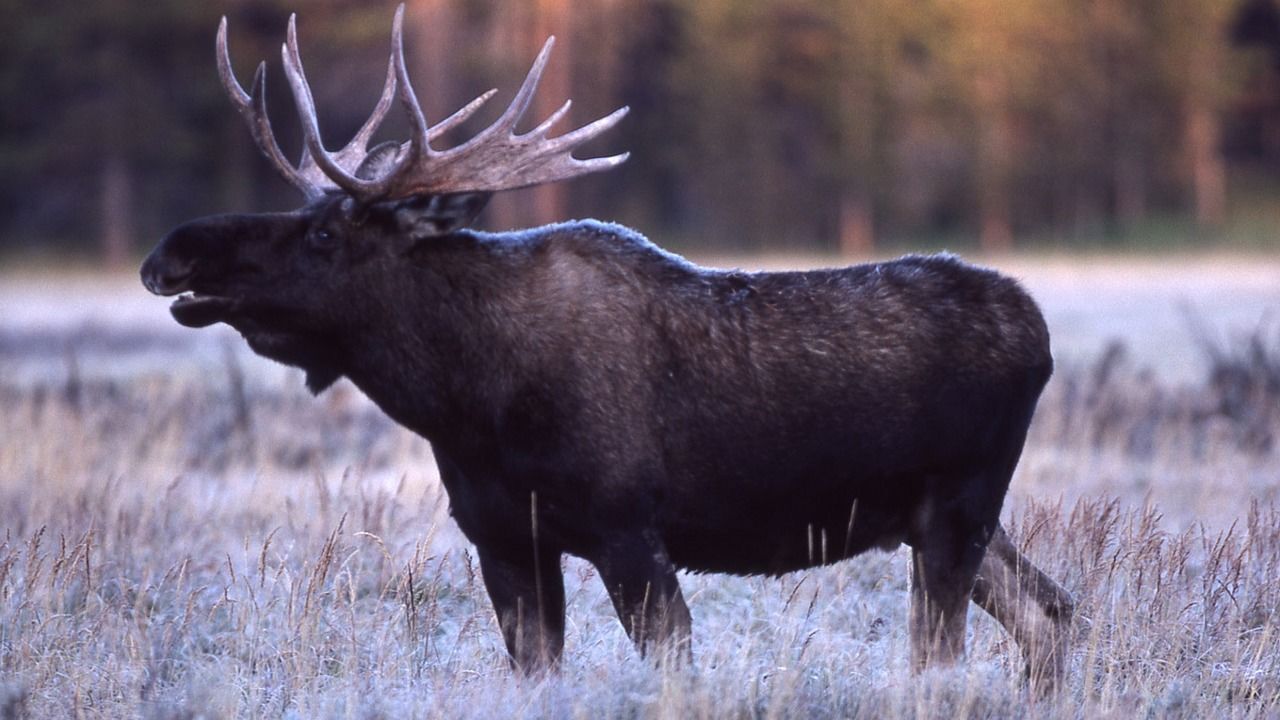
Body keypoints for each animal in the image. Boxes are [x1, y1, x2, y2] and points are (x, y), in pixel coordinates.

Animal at [142, 7, 1080, 691]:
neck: (464, 400)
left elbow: (672, 667)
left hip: (956, 507)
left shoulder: (628, 529)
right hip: (942, 518)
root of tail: (1038, 331)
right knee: (1052, 613)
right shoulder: (504, 540)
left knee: (950, 654)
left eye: (326, 232)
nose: (171, 253)